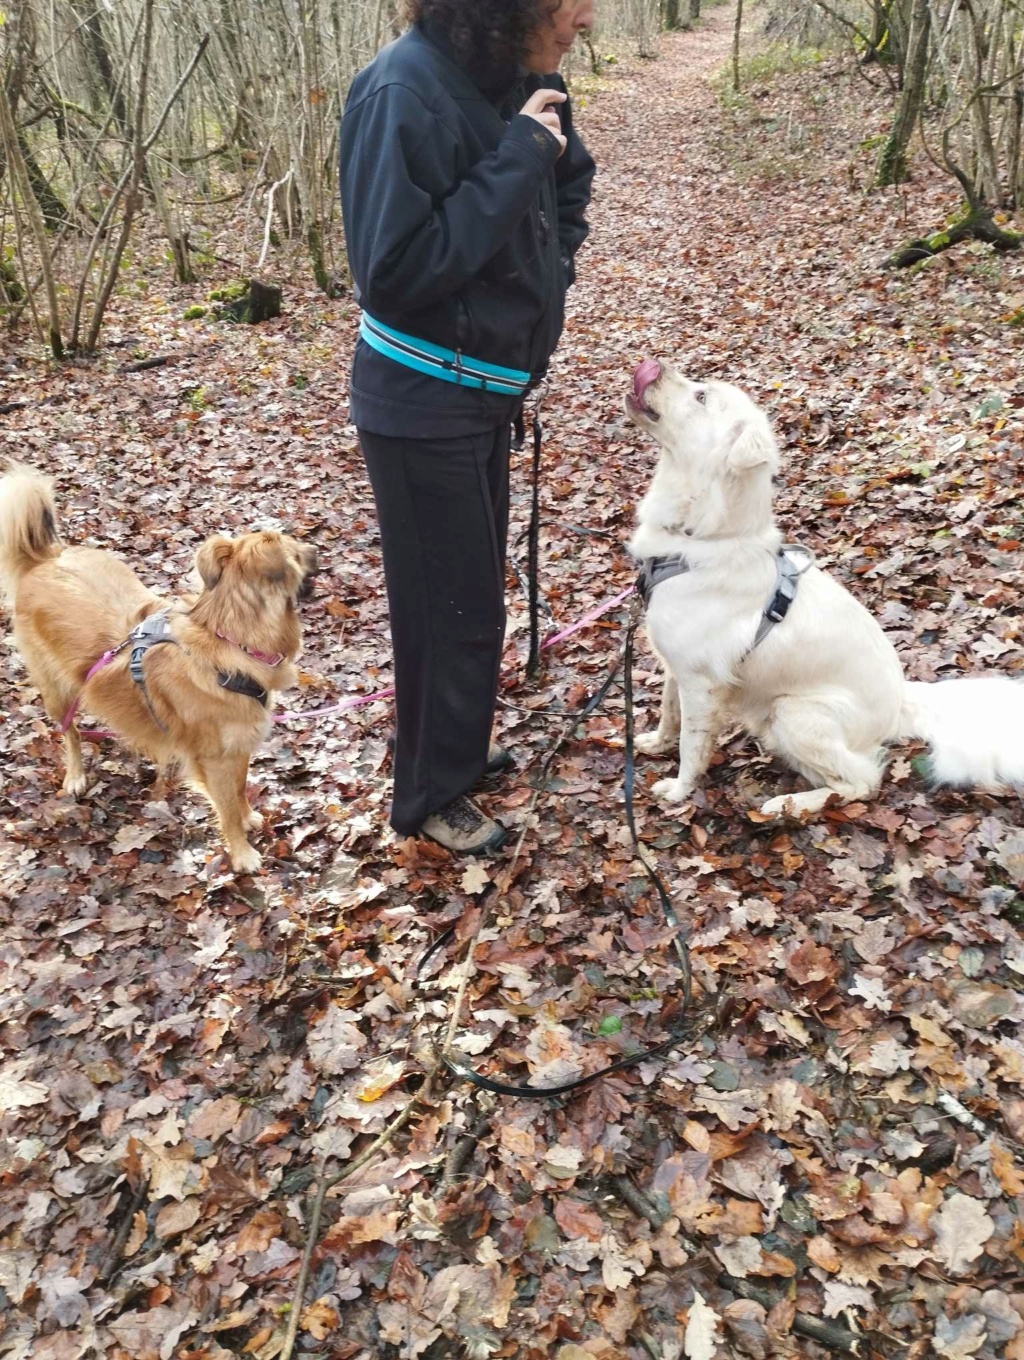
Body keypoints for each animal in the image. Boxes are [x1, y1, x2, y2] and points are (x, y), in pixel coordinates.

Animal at [0, 465, 315, 870]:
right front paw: (242, 851)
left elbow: (240, 787)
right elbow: (226, 806)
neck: (231, 641)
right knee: (69, 731)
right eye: (296, 552)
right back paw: (76, 774)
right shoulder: (214, 758)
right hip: (55, 689)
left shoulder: (239, 744)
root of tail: (45, 558)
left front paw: (248, 818)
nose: (317, 549)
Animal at [622, 356, 1022, 810]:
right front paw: (653, 744)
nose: (651, 365)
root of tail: (901, 701)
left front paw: (678, 790)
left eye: (701, 396)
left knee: (862, 782)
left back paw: (788, 806)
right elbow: (668, 714)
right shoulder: (677, 669)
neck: (703, 537)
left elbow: (691, 744)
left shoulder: (701, 682)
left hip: (793, 711)